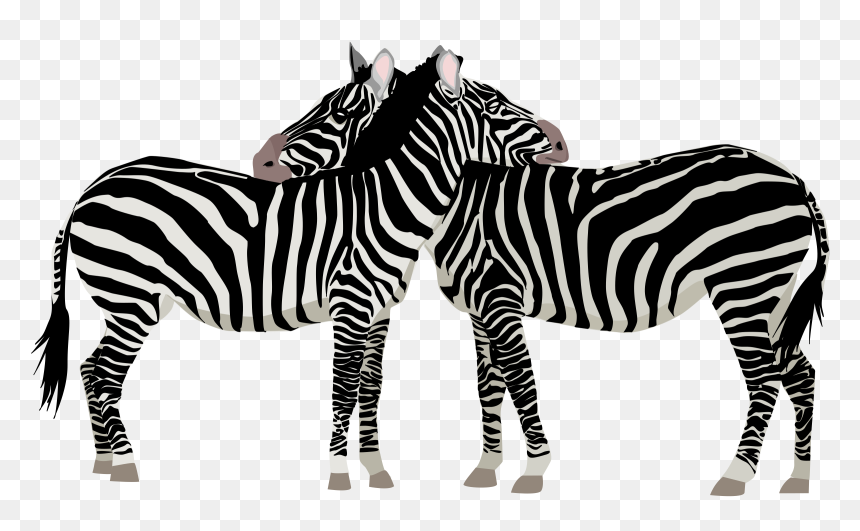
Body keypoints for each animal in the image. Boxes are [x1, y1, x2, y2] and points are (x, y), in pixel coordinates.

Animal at [32, 48, 557, 490]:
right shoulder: (350, 305)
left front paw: (376, 470)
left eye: (338, 113)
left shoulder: (380, 312)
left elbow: (370, 386)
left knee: (88, 369)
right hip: (129, 298)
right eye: (496, 106)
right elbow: (343, 387)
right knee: (102, 374)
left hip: (130, 302)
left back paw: (103, 462)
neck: (383, 201)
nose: (559, 140)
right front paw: (339, 476)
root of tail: (89, 190)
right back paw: (124, 465)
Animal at [420, 147, 827, 495]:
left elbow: (519, 380)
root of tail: (790, 175)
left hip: (743, 284)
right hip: (770, 294)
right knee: (800, 374)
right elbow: (488, 384)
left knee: (764, 379)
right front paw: (486, 467)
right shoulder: (479, 308)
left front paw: (534, 469)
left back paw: (737, 474)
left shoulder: (498, 296)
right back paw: (799, 477)